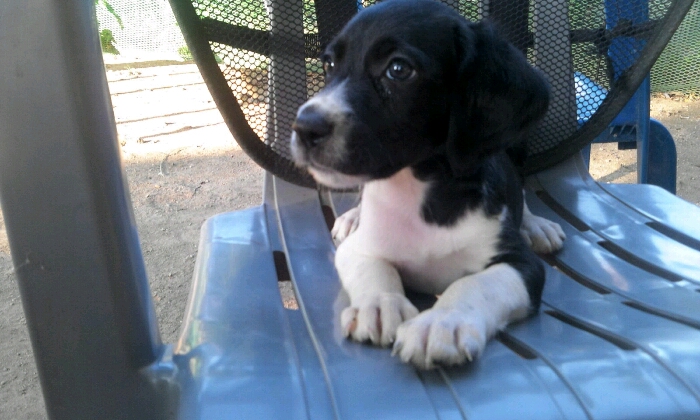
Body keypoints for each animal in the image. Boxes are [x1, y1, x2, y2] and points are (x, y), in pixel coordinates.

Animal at [290, 0, 565, 369]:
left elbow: (475, 284)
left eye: (398, 69)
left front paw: (441, 322)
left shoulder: (523, 266)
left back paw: (536, 225)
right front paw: (381, 303)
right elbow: (373, 267)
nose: (304, 127)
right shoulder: (359, 249)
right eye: (329, 63)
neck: (416, 194)